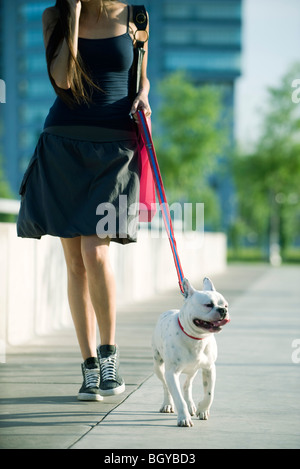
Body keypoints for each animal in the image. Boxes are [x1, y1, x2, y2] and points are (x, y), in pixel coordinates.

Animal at [152, 276, 230, 426]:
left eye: (225, 305)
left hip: (193, 370)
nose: (223, 311)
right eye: (208, 305)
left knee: (187, 386)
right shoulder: (171, 373)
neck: (197, 338)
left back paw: (191, 405)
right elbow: (178, 398)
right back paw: (167, 404)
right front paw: (184, 418)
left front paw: (202, 409)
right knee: (166, 386)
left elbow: (210, 394)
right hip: (159, 366)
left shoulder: (209, 369)